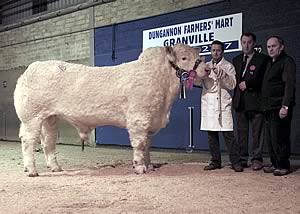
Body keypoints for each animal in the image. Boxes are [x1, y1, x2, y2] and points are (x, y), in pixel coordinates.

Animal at [13, 42, 206, 176]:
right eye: (184, 58)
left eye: (199, 55)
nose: (207, 68)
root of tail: (31, 69)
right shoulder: (139, 119)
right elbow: (140, 144)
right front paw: (140, 167)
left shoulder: (151, 121)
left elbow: (148, 145)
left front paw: (150, 165)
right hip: (31, 118)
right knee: (29, 142)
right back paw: (32, 171)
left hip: (49, 118)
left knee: (48, 142)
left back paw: (55, 167)